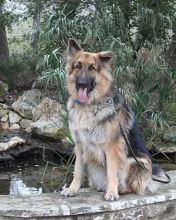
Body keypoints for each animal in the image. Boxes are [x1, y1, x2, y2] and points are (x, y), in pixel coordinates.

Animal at [61, 38, 170, 201]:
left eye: (92, 68)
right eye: (78, 66)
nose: (81, 84)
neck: (89, 105)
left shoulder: (112, 147)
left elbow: (112, 172)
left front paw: (112, 192)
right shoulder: (80, 146)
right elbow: (77, 171)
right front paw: (72, 189)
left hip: (135, 161)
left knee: (133, 186)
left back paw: (119, 189)